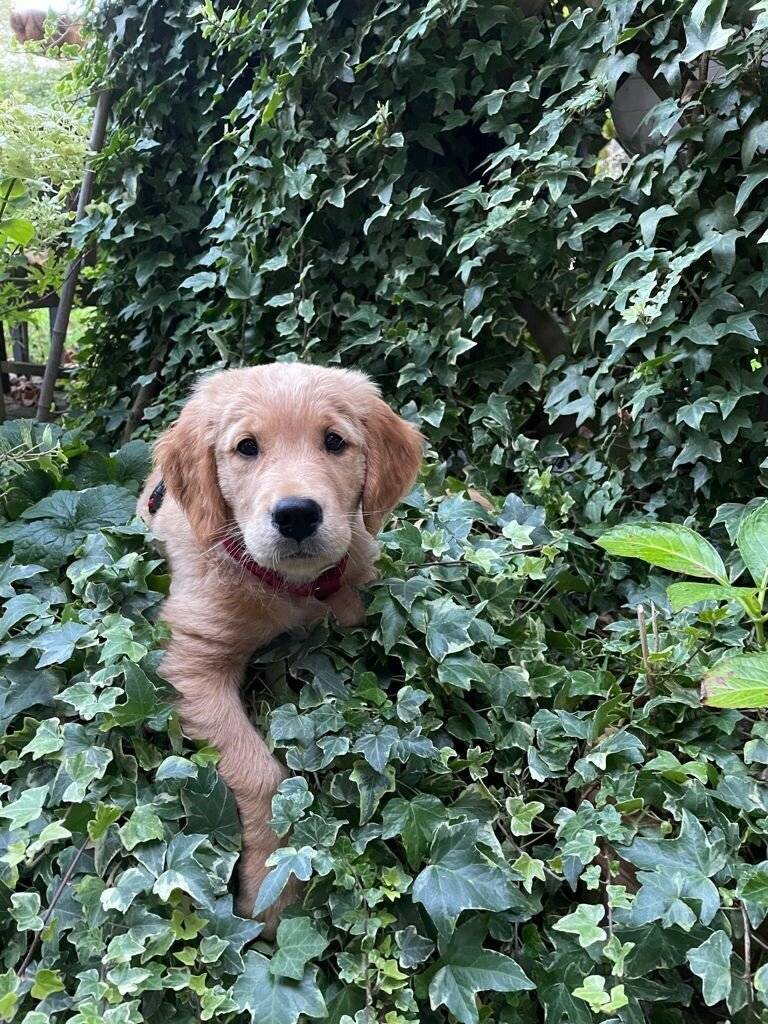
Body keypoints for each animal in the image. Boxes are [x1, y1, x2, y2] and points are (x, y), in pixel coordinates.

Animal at [141, 364, 423, 933]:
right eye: (246, 447)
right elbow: (261, 772)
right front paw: (274, 889)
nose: (296, 515)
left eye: (334, 441)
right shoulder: (191, 660)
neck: (287, 588)